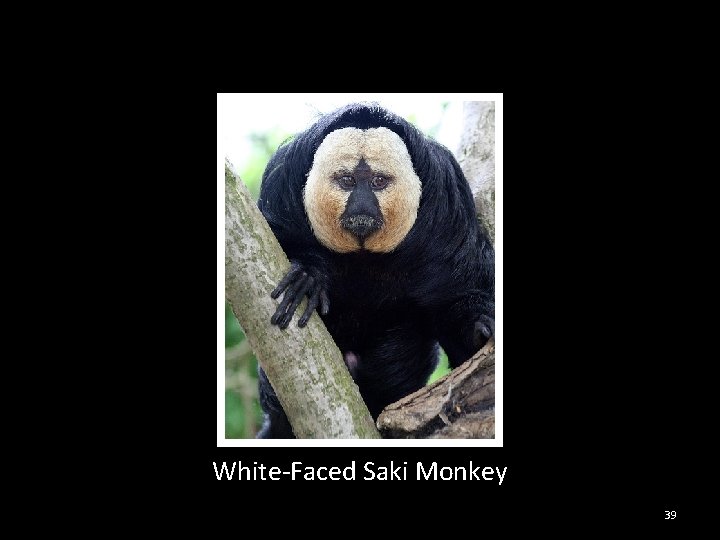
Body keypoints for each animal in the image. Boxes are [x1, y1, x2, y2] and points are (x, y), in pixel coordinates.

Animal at [254, 103, 494, 438]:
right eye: (347, 181)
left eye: (378, 182)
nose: (362, 206)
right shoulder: (282, 180)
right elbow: (272, 240)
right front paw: (307, 276)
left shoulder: (449, 200)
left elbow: (457, 292)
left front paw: (478, 329)